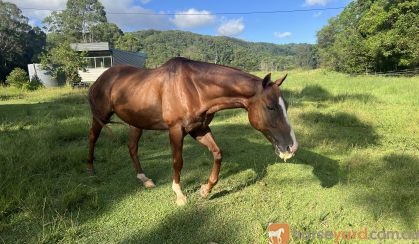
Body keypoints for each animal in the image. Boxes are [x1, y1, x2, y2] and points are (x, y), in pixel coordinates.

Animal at [87, 57, 296, 206]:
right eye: (270, 107)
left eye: (285, 105)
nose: (291, 147)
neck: (193, 88)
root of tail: (100, 79)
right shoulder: (176, 130)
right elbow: (177, 161)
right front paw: (179, 195)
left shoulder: (199, 129)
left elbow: (217, 153)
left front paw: (205, 190)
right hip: (102, 117)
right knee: (93, 137)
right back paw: (91, 169)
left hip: (136, 122)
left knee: (132, 148)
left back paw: (144, 179)